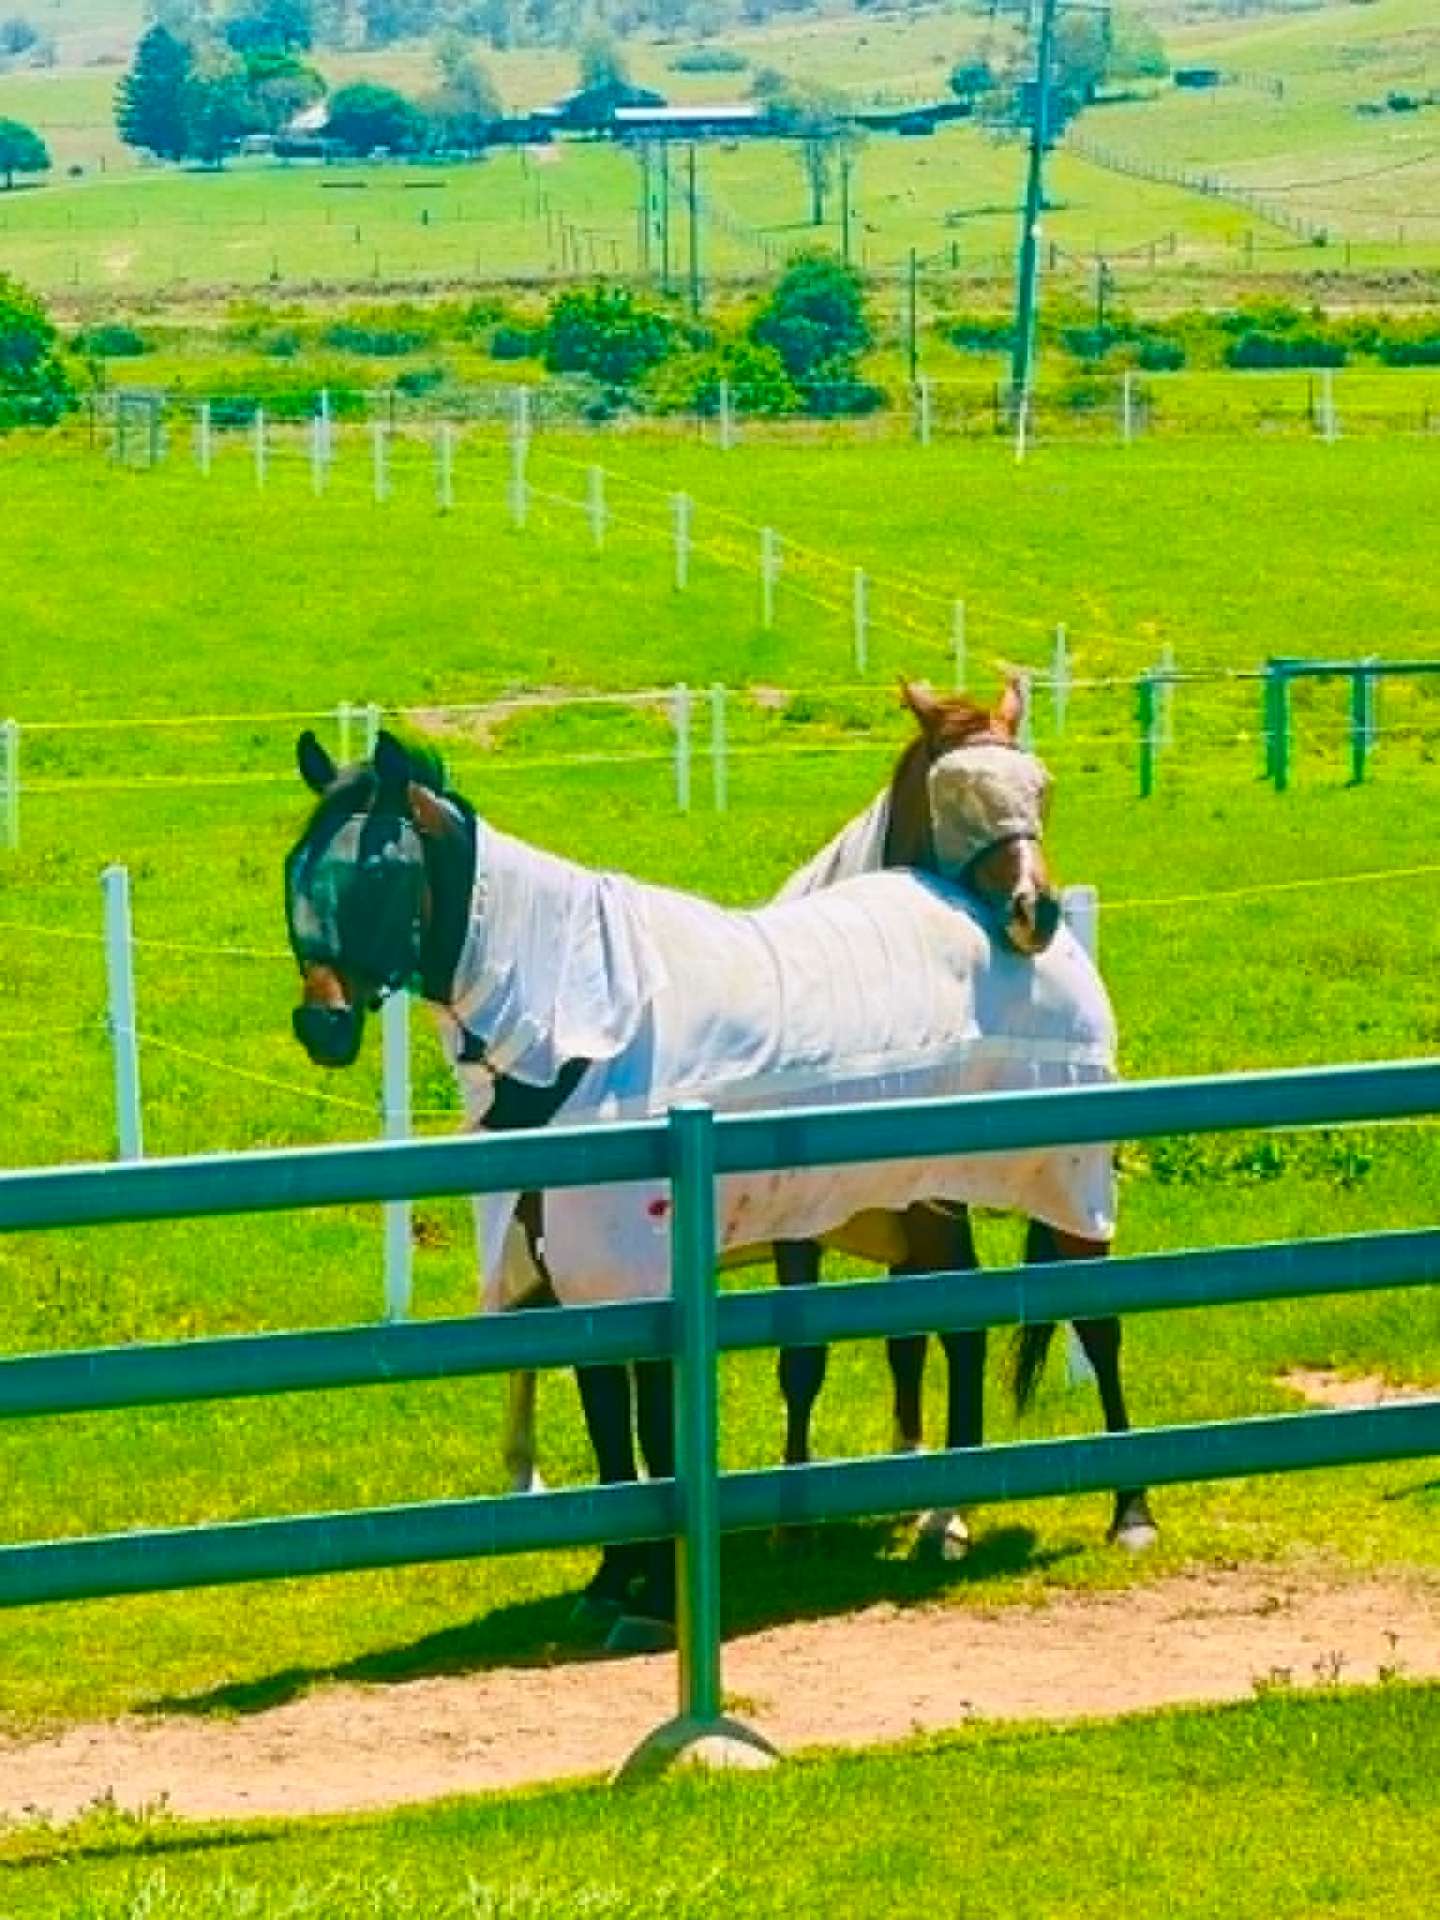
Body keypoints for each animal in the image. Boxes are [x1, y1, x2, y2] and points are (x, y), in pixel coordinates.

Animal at [283, 709, 1148, 1649]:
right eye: (298, 867)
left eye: (379, 872)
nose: (322, 1024)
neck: (579, 1017)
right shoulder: (576, 1270)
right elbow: (610, 1421)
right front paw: (613, 1578)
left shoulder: (641, 1263)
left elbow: (658, 1424)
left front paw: (659, 1590)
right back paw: (947, 1506)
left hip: (1067, 1188)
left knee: (1096, 1325)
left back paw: (1125, 1509)